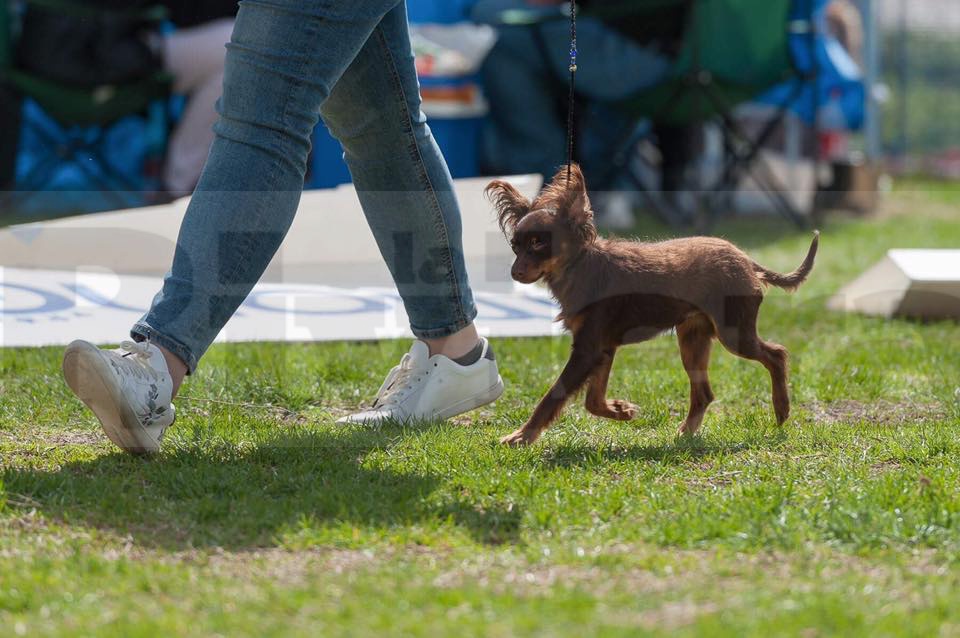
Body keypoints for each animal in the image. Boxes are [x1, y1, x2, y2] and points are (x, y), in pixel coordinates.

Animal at [488, 164, 816, 450]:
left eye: (538, 244)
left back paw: (781, 409)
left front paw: (522, 436)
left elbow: (553, 396)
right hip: (693, 339)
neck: (581, 267)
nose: (515, 273)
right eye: (515, 246)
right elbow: (593, 400)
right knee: (704, 393)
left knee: (776, 355)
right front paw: (620, 411)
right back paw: (686, 433)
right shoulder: (603, 348)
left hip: (733, 333)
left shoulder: (588, 350)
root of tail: (747, 260)